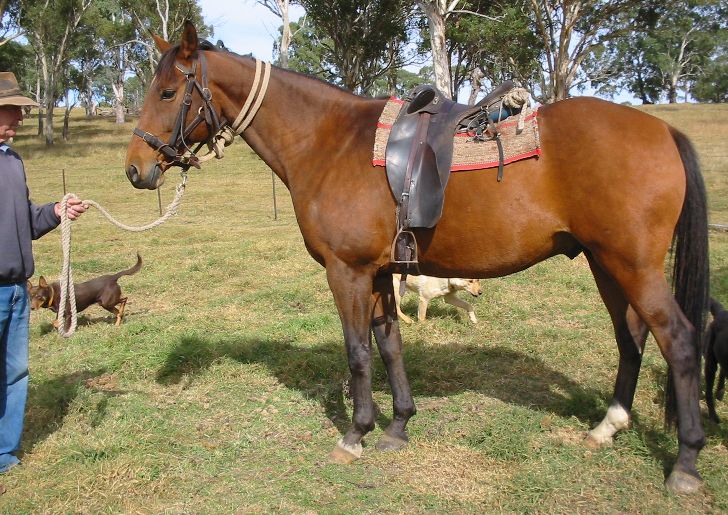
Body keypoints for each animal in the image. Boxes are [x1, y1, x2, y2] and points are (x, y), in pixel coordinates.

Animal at [125, 21, 712, 496]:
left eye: (169, 91)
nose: (135, 168)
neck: (328, 141)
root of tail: (663, 130)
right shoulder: (382, 274)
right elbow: (390, 346)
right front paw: (398, 425)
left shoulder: (347, 272)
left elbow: (359, 352)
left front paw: (356, 434)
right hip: (604, 263)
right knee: (631, 337)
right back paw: (607, 428)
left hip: (632, 265)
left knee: (680, 341)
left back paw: (685, 463)